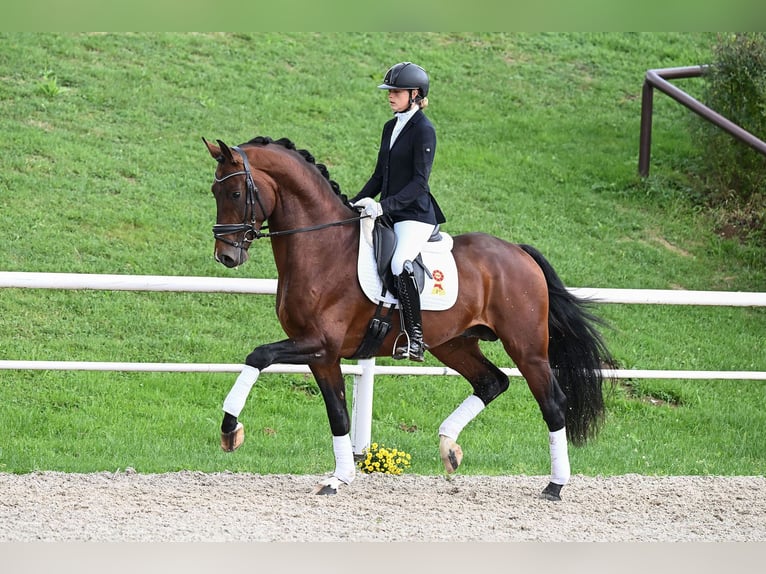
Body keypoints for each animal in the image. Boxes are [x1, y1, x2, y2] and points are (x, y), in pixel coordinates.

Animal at [201, 137, 616, 502]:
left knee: (552, 404)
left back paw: (555, 485)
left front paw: (230, 431)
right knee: (492, 382)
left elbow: (258, 356)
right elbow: (338, 415)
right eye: (214, 192)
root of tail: (519, 252)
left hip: (526, 347)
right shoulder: (323, 355)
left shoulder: (317, 343)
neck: (322, 249)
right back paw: (450, 448)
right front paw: (338, 479)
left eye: (235, 194)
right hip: (455, 344)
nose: (227, 256)